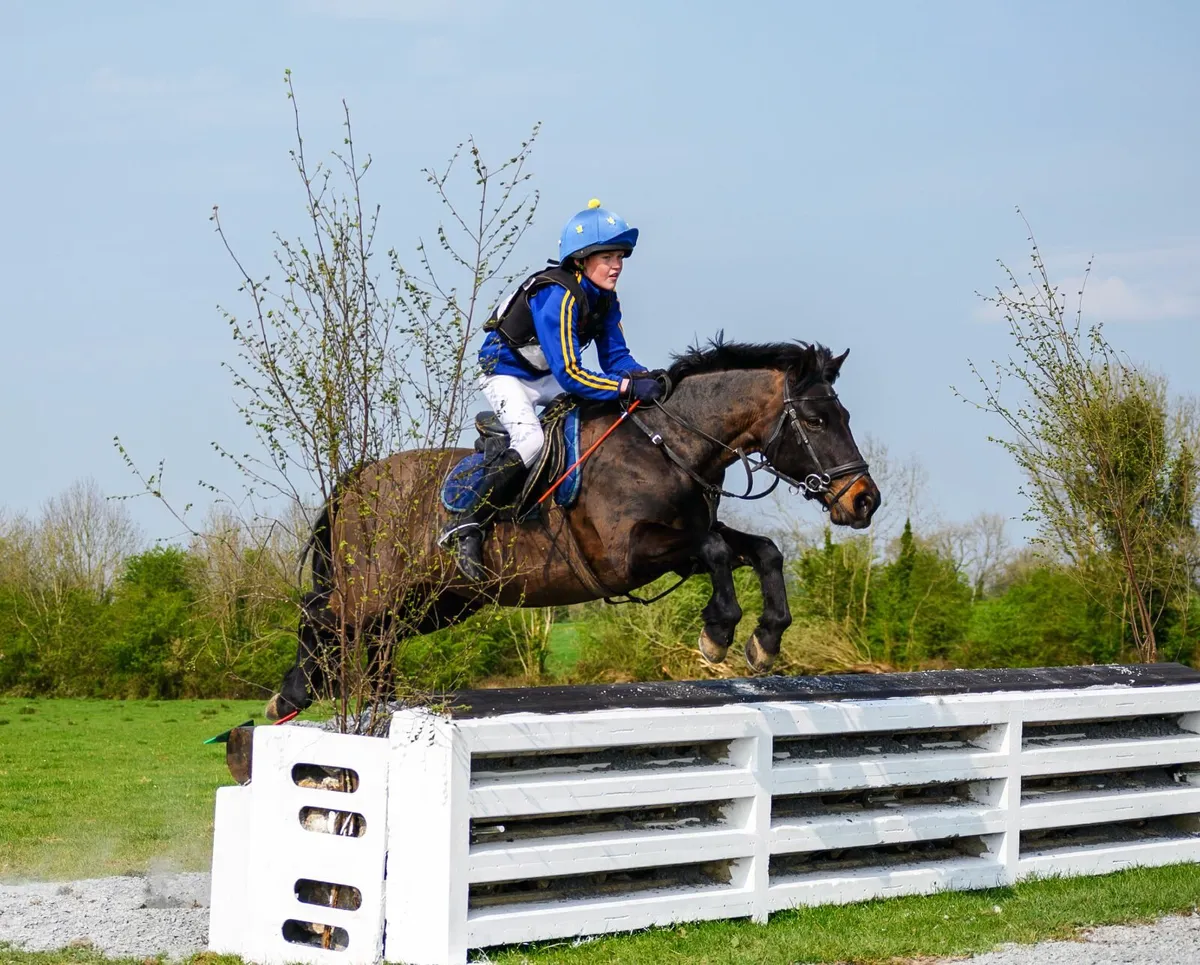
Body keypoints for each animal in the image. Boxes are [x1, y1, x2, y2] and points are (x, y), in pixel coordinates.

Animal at [265, 338, 881, 720]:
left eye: (847, 417)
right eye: (817, 420)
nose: (865, 501)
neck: (669, 446)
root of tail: (359, 477)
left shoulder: (676, 540)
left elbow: (762, 550)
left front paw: (765, 641)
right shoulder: (627, 557)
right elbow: (714, 550)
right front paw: (718, 631)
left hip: (437, 603)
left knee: (373, 638)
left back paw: (373, 702)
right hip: (373, 589)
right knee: (320, 613)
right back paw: (290, 696)